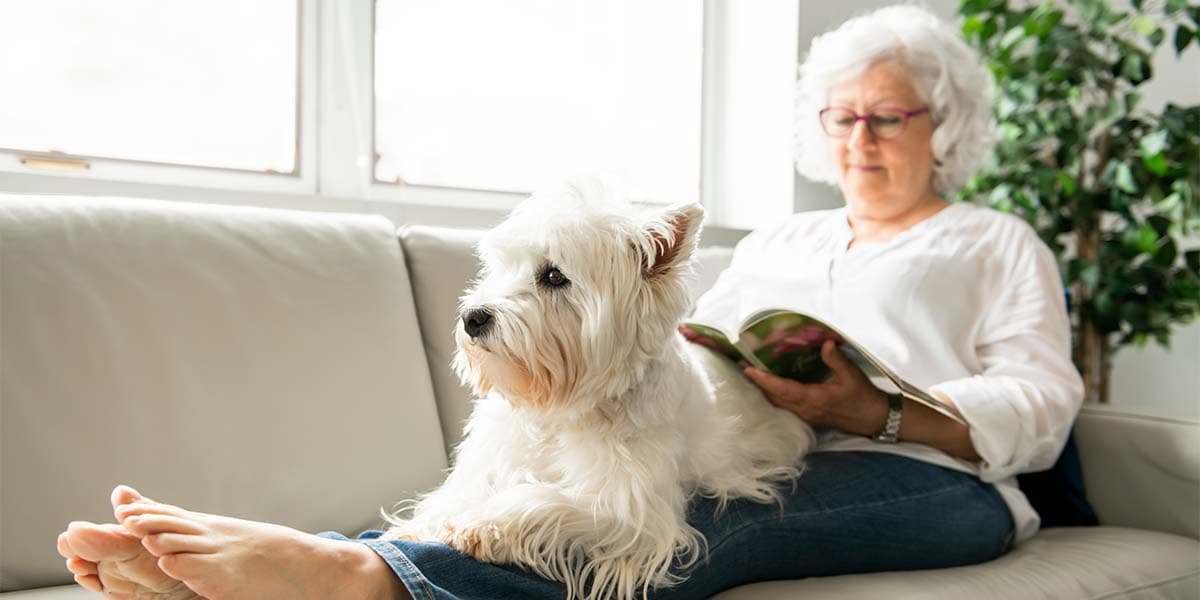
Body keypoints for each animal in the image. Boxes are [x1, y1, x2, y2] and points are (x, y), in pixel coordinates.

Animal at [384, 180, 816, 600]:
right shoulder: (494, 459)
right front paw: (417, 526)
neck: (558, 408)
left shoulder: (632, 509)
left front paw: (484, 524)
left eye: (554, 276)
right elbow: (456, 493)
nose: (472, 317)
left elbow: (545, 500)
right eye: (501, 267)